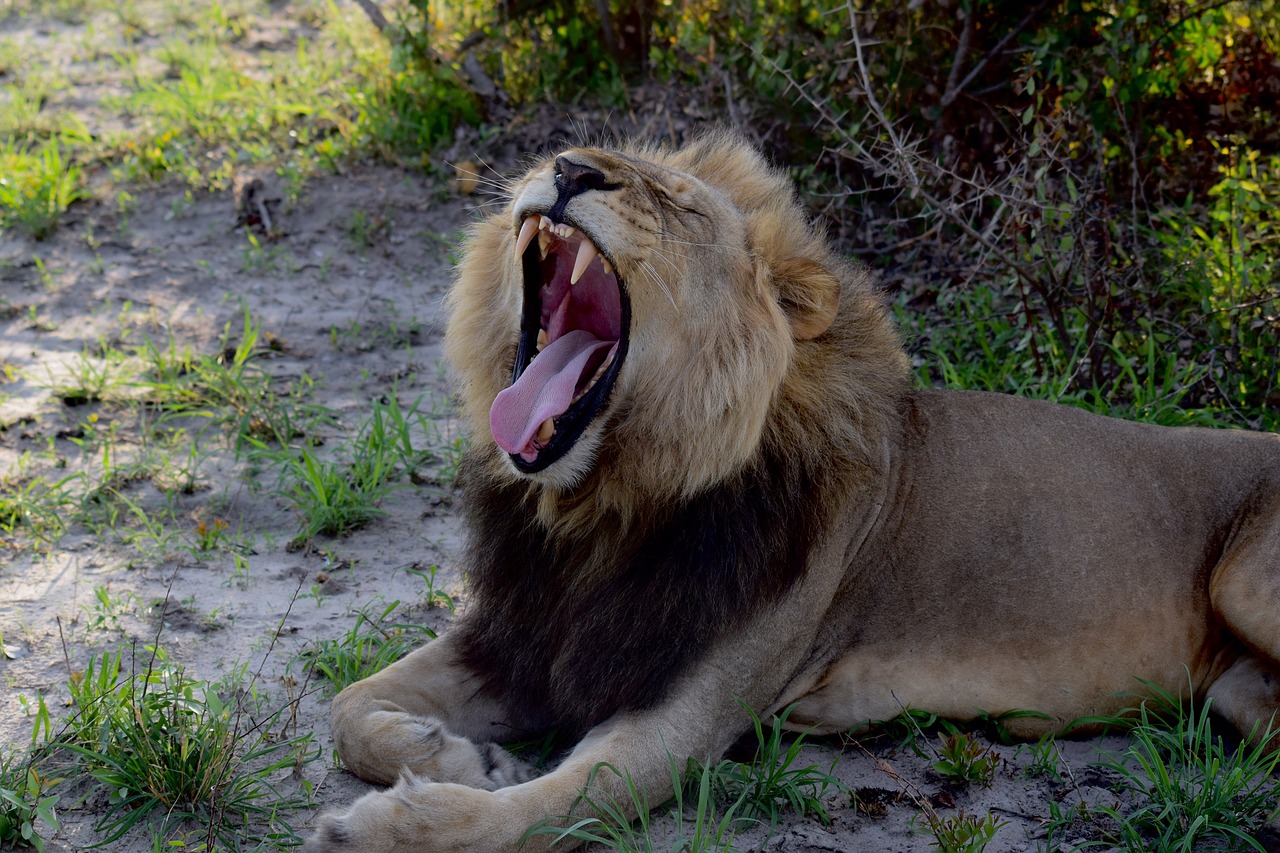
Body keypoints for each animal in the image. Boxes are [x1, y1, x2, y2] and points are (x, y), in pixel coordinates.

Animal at [307, 129, 1280, 845]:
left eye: (674, 201)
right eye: (566, 152)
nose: (570, 170)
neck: (600, 506)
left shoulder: (689, 707)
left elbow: (559, 802)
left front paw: (395, 825)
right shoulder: (530, 629)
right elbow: (345, 704)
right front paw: (455, 756)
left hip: (1244, 582)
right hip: (1235, 688)